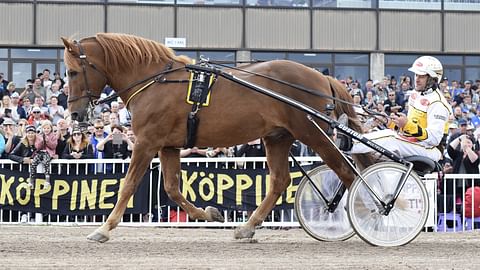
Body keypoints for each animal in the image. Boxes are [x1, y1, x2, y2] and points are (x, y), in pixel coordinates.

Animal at [62, 32, 364, 242]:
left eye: (73, 71)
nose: (75, 113)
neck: (155, 81)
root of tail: (322, 78)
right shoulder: (168, 146)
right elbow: (171, 187)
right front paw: (208, 213)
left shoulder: (147, 143)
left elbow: (128, 185)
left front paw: (103, 229)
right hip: (278, 137)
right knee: (280, 181)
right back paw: (247, 227)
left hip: (312, 134)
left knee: (347, 173)